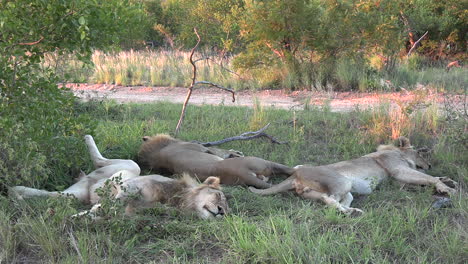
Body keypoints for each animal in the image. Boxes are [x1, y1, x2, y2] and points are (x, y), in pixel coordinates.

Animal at [9, 135, 229, 220]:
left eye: (227, 209)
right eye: (219, 197)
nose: (221, 212)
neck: (181, 200)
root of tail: (88, 179)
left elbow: (102, 211)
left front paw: (76, 216)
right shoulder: (135, 184)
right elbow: (118, 199)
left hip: (76, 195)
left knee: (50, 195)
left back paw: (16, 193)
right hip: (131, 166)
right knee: (101, 160)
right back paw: (86, 137)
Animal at [137, 134, 294, 188]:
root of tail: (243, 173)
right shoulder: (202, 149)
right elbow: (218, 150)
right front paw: (235, 153)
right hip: (263, 162)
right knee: (289, 170)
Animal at [249, 137, 458, 216]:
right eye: (421, 154)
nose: (430, 165)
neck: (396, 152)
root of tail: (296, 175)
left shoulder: (399, 181)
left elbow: (428, 178)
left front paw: (447, 180)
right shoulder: (398, 171)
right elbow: (429, 178)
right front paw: (446, 188)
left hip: (336, 191)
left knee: (331, 201)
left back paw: (352, 212)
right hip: (342, 181)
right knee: (330, 199)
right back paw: (352, 212)